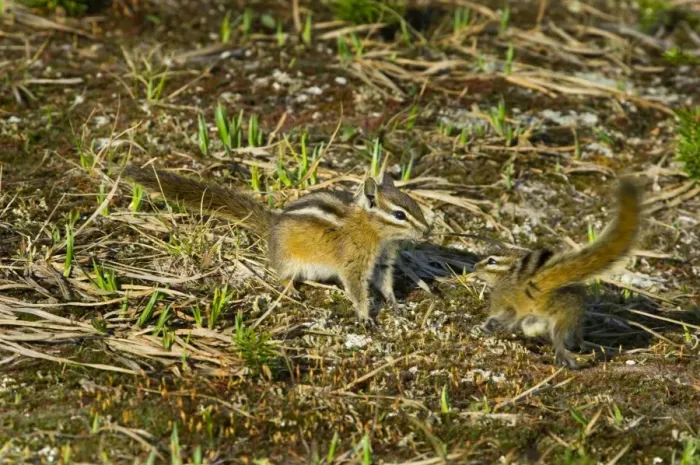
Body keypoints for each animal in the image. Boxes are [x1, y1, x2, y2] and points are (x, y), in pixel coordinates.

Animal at [123, 166, 431, 321]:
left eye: (415, 206)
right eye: (399, 215)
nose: (428, 231)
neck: (376, 233)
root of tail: (272, 227)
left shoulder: (384, 261)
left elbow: (386, 283)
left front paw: (394, 304)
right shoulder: (354, 264)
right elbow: (356, 289)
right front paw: (365, 315)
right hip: (290, 260)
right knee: (280, 274)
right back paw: (290, 289)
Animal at [470, 178, 643, 369]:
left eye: (491, 261)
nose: (474, 267)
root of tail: (539, 282)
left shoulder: (501, 301)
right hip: (566, 314)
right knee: (560, 335)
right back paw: (569, 355)